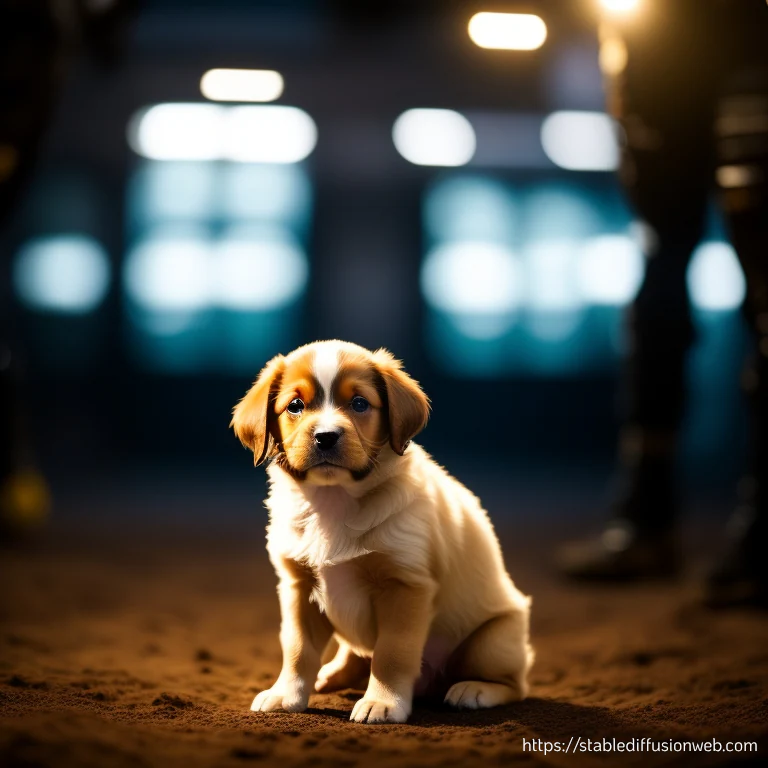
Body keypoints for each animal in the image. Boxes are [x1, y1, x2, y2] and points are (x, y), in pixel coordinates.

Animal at [232, 340, 536, 724]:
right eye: (295, 406)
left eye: (360, 403)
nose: (325, 437)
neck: (334, 500)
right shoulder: (298, 586)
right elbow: (298, 648)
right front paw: (287, 694)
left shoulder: (404, 587)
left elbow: (391, 652)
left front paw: (384, 703)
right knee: (354, 653)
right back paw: (330, 675)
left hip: (492, 642)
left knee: (516, 684)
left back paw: (475, 689)